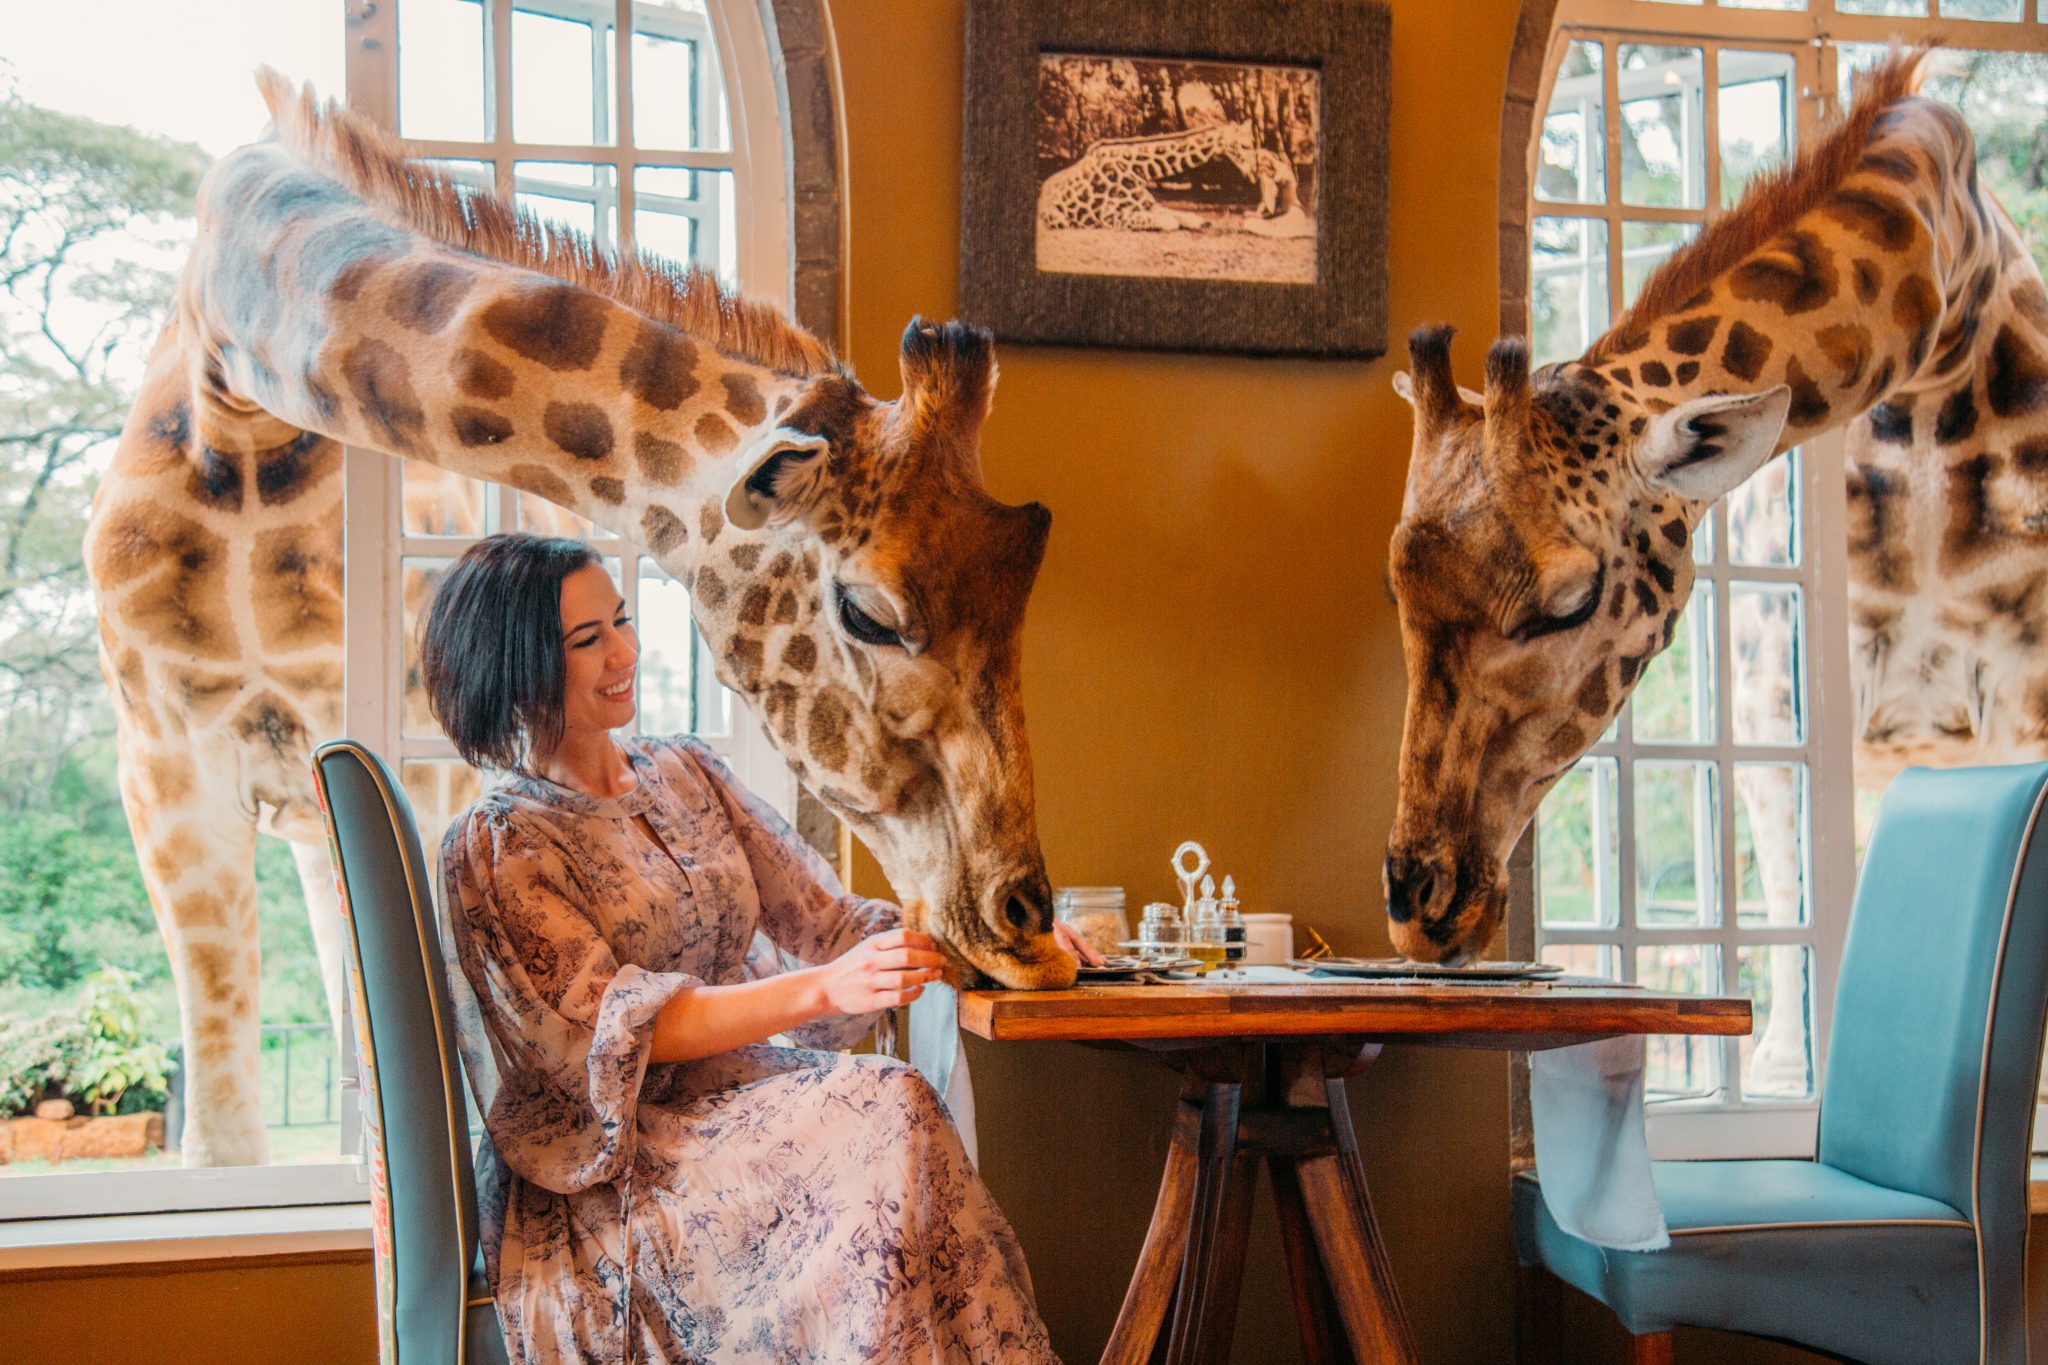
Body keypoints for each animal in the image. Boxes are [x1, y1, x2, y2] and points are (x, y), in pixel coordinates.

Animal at [1040, 121, 1261, 233]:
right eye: (1245, 146)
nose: (1254, 173)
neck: (1138, 169)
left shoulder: (1150, 205)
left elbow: (1187, 216)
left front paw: (1200, 222)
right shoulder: (1110, 215)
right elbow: (1170, 222)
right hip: (1057, 218)